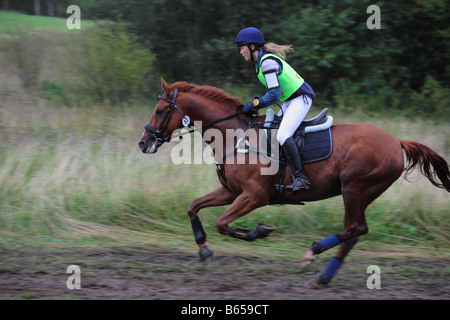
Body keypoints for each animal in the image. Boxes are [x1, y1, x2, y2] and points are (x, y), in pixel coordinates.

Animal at [138, 78, 450, 288]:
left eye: (159, 110)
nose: (143, 143)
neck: (234, 135)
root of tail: (397, 142)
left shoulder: (254, 196)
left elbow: (222, 223)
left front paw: (259, 231)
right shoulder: (230, 192)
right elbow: (194, 207)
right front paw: (203, 249)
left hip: (355, 188)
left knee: (356, 228)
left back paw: (313, 252)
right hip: (357, 193)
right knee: (353, 232)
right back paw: (322, 278)